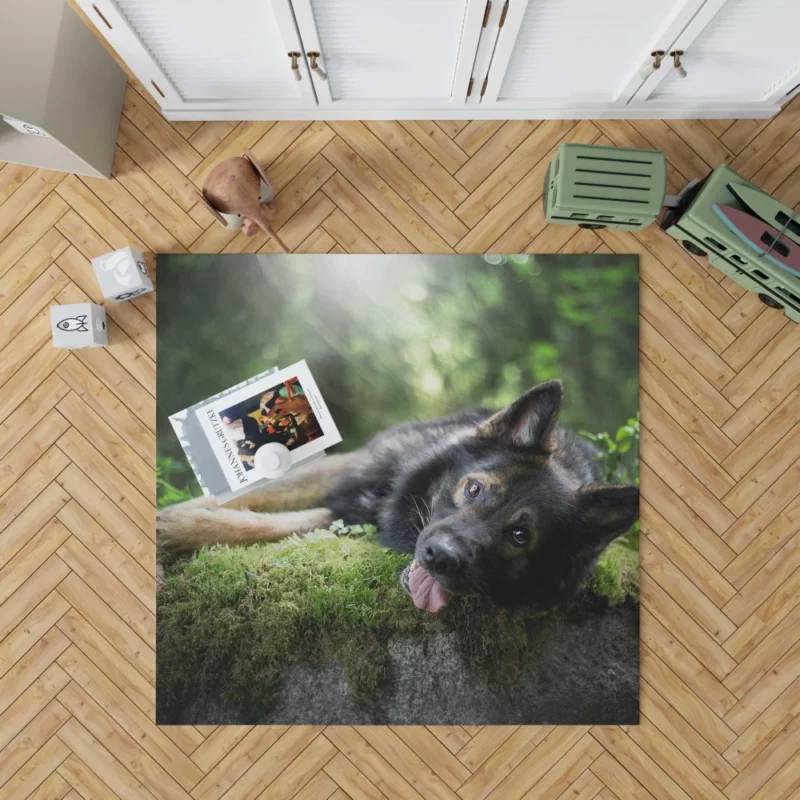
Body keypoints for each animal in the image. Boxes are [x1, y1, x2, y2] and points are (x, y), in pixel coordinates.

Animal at [159, 382, 640, 612]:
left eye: (520, 536)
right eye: (474, 489)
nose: (439, 556)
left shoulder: (348, 513)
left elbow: (266, 524)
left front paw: (181, 531)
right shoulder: (351, 472)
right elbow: (238, 499)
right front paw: (174, 520)